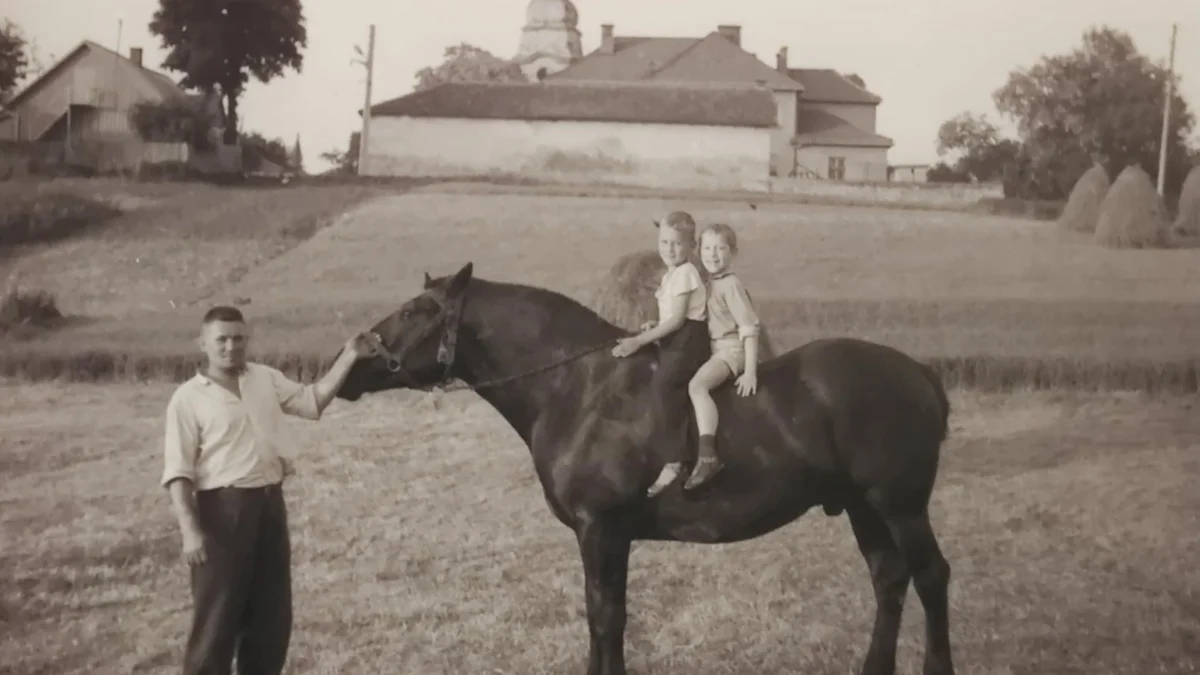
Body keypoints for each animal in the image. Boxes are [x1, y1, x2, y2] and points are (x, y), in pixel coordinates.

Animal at [336, 261, 955, 672]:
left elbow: (605, 618)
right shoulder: (606, 535)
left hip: (900, 506)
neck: (579, 388)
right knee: (889, 579)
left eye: (414, 311)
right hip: (862, 507)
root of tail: (919, 372)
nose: (352, 359)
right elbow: (606, 617)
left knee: (931, 576)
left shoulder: (601, 529)